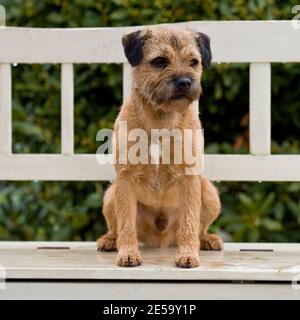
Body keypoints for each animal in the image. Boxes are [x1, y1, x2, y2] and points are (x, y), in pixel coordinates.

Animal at [96, 26, 223, 268]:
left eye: (193, 62)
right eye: (160, 61)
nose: (185, 82)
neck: (160, 121)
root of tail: (160, 239)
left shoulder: (190, 177)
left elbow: (189, 221)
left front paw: (188, 255)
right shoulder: (125, 178)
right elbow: (126, 223)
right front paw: (128, 254)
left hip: (210, 194)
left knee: (199, 228)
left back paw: (207, 240)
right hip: (110, 195)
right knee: (116, 227)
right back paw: (109, 240)